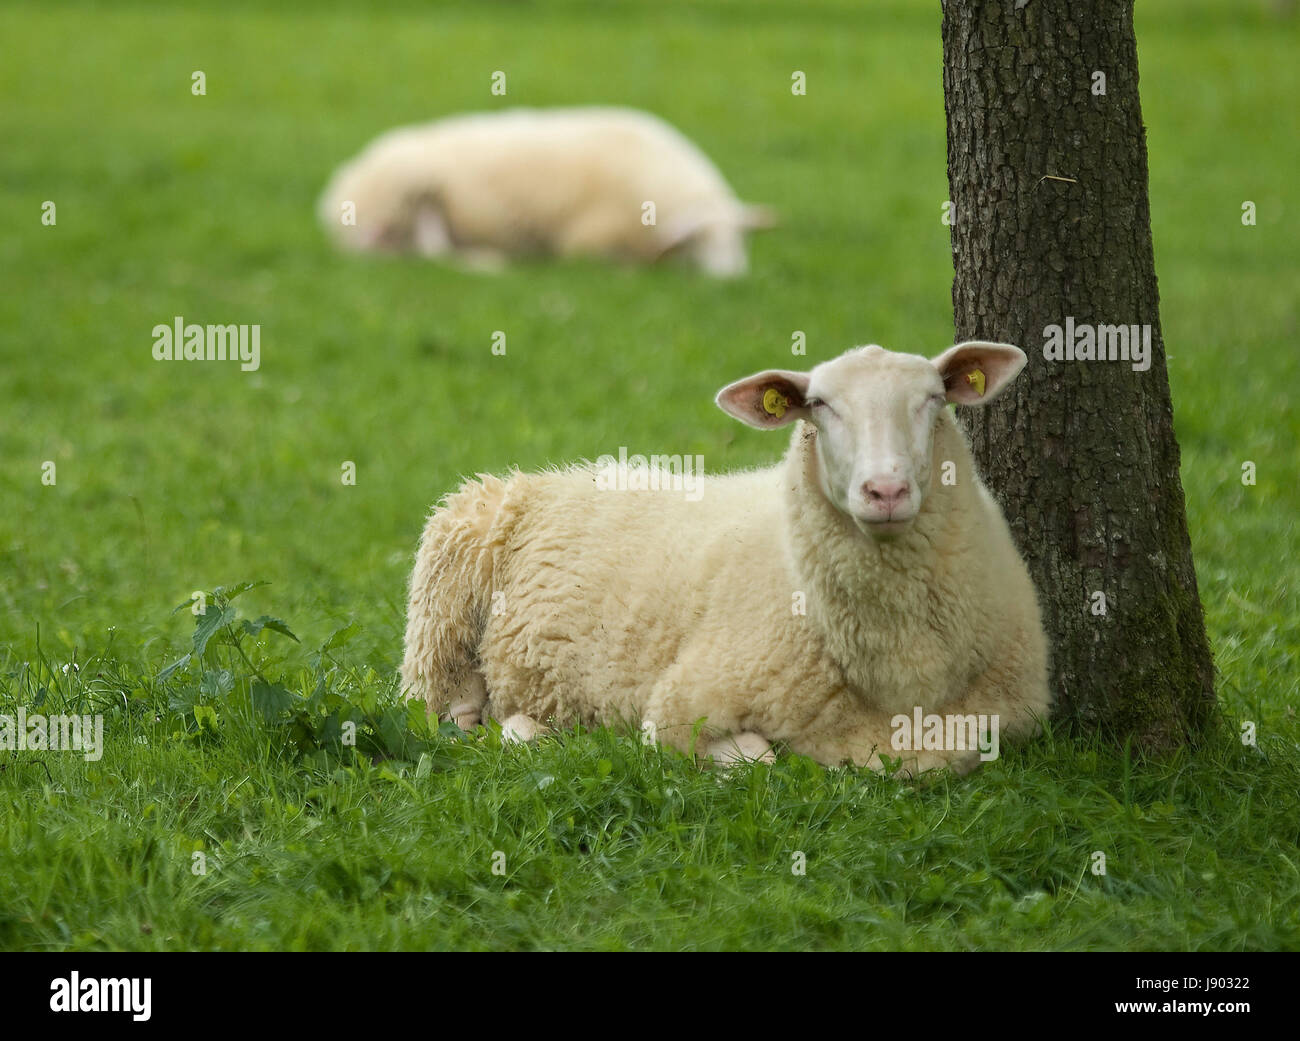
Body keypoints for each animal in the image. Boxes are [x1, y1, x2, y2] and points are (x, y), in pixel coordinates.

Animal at [318, 106, 774, 277]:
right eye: (699, 239)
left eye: (741, 237)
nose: (732, 278)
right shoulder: (588, 242)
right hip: (412, 190)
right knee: (425, 248)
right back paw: (489, 262)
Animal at [400, 342, 1051, 774]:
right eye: (819, 405)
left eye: (934, 399)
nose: (885, 491)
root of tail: (549, 475)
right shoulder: (682, 705)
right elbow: (759, 761)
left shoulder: (998, 720)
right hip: (440, 635)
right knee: (453, 721)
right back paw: (524, 728)